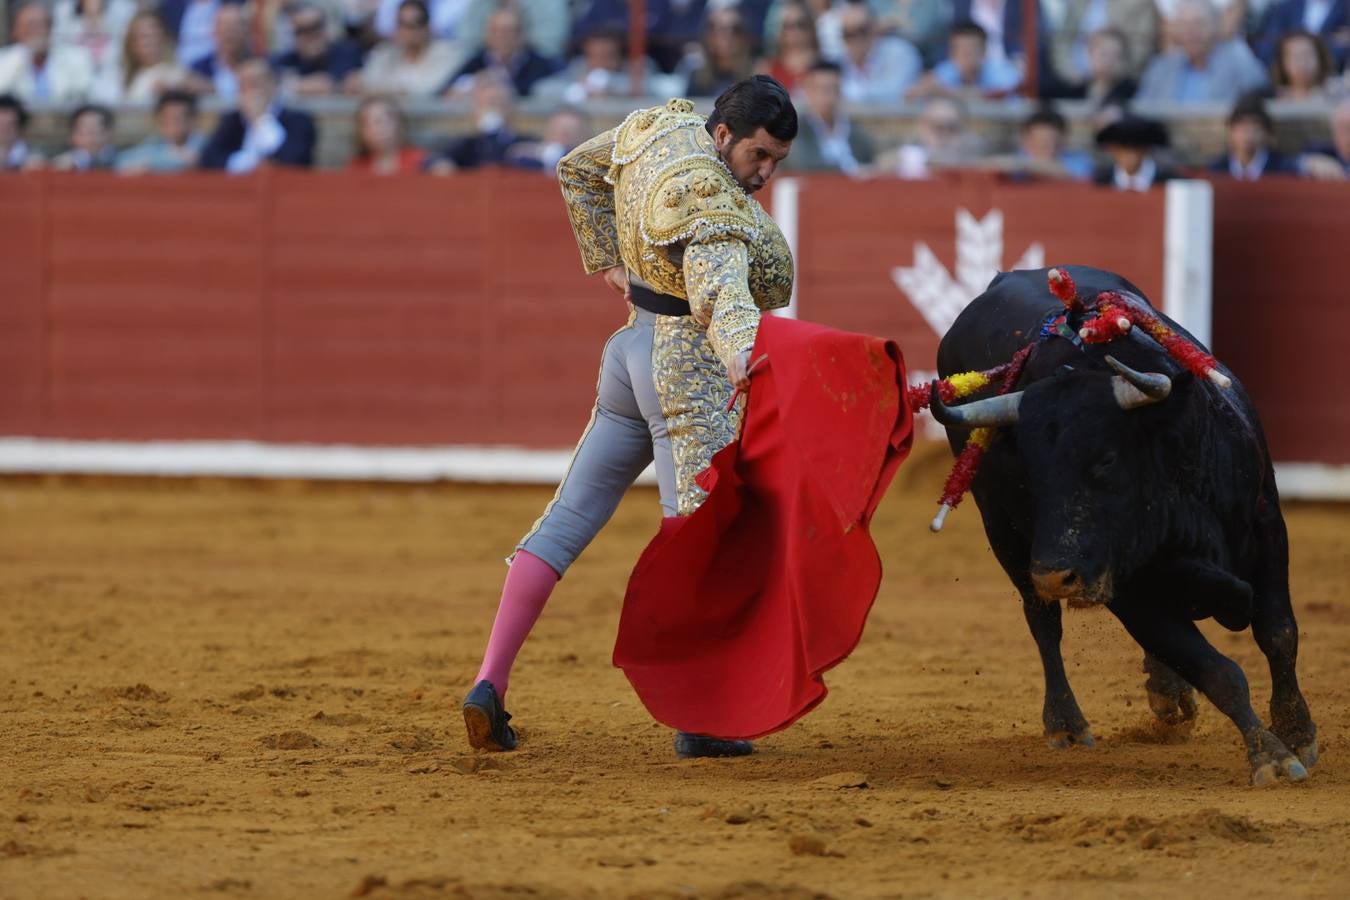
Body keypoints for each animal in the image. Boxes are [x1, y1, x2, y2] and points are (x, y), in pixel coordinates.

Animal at [934, 264, 1312, 782]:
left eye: (1107, 459)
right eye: (1029, 470)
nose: (1054, 575)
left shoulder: (1268, 528)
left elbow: (1278, 633)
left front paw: (1297, 732)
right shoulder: (1127, 589)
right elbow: (1217, 670)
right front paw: (1271, 756)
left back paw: (1168, 694)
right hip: (1006, 537)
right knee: (1043, 624)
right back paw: (1067, 723)